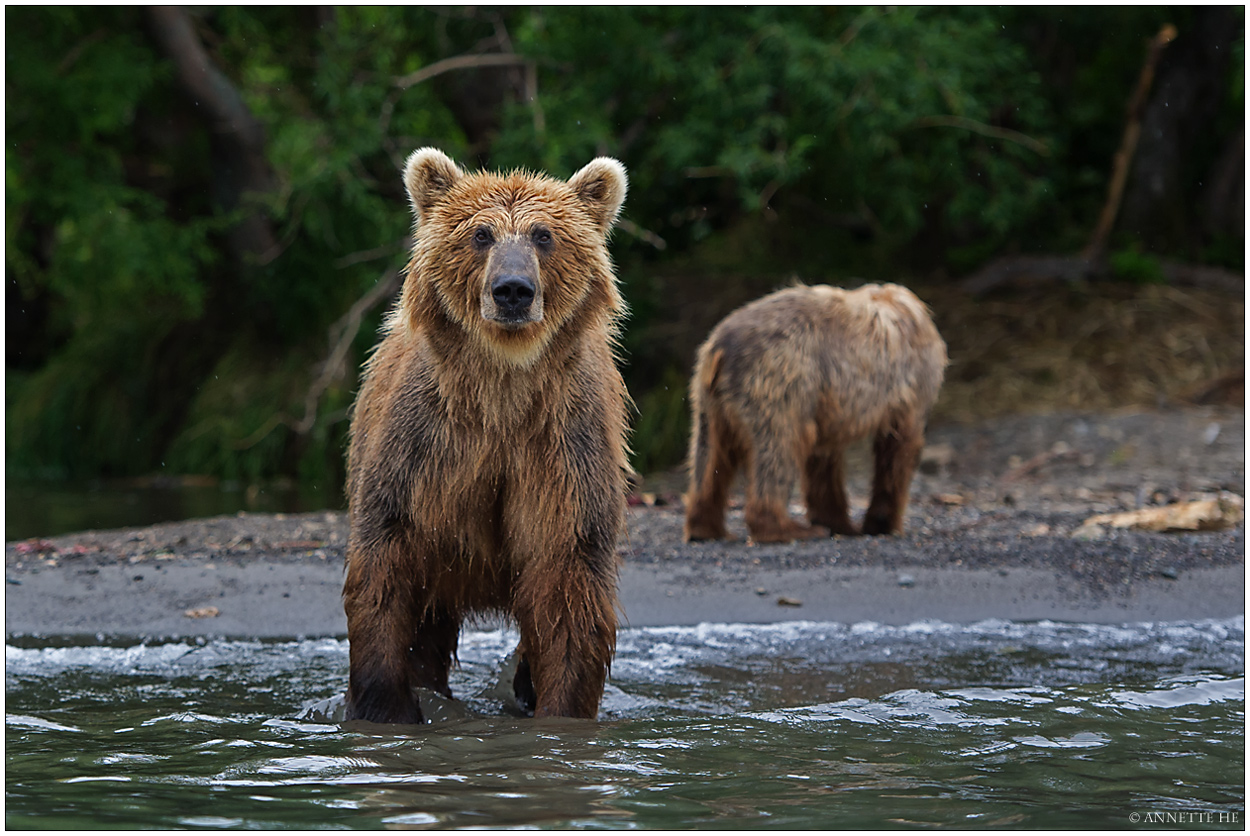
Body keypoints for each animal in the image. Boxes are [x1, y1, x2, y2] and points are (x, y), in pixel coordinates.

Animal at [342, 149, 630, 724]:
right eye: (481, 233)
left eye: (543, 235)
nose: (513, 290)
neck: (503, 390)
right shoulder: (426, 443)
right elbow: (385, 559)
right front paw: (387, 707)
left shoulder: (561, 448)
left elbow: (569, 576)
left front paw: (558, 710)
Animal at [685, 283, 945, 544]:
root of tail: (721, 347)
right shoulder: (911, 387)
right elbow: (898, 449)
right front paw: (882, 523)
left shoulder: (826, 404)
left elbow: (823, 461)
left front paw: (837, 523)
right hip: (780, 379)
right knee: (780, 449)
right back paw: (788, 528)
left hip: (709, 401)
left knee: (710, 457)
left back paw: (705, 528)